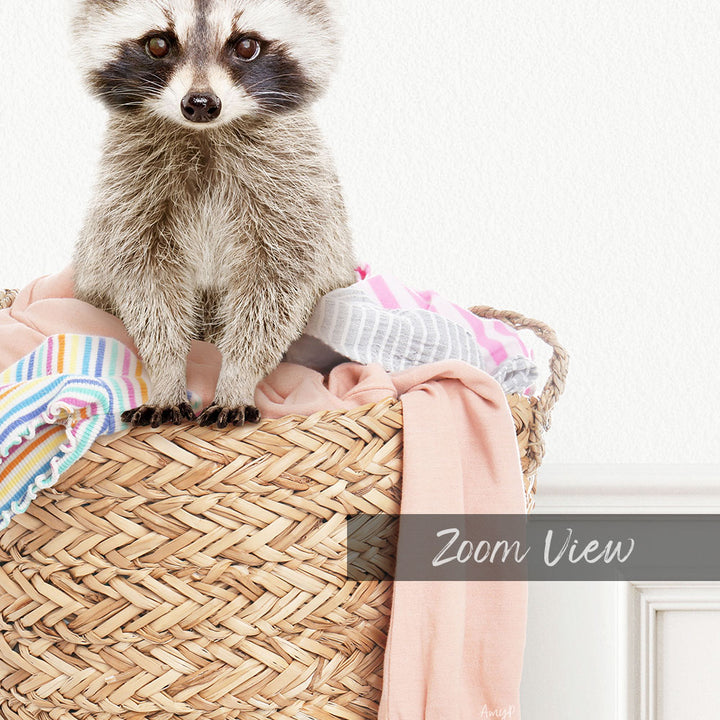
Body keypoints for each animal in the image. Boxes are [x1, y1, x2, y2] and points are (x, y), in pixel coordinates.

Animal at [71, 0, 356, 428]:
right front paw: (166, 373)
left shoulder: (294, 190)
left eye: (247, 46)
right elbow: (145, 286)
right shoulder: (128, 193)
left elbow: (275, 290)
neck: (205, 135)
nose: (201, 104)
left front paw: (237, 376)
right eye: (158, 44)